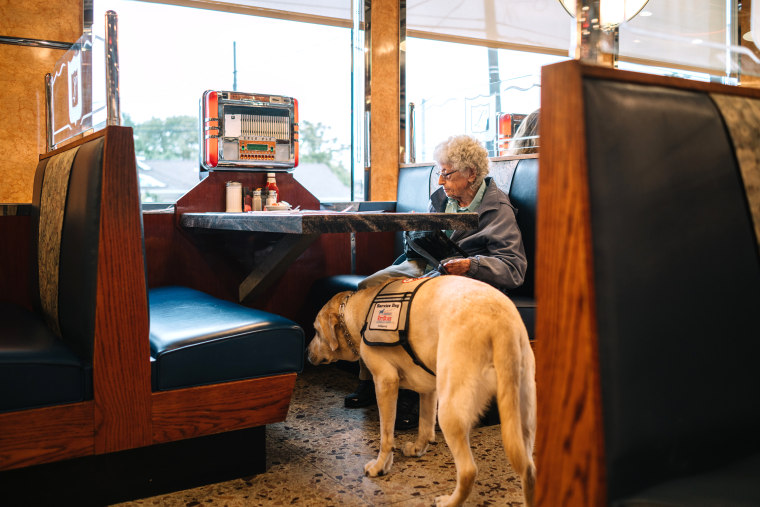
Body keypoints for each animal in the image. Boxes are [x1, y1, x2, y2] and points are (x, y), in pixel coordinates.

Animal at [306, 278, 536, 507]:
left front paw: (380, 466)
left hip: (450, 411)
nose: (307, 353)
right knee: (529, 468)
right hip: (522, 415)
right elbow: (425, 425)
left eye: (316, 331)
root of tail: (500, 321)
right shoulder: (429, 388)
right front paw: (418, 449)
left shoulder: (385, 381)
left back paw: (449, 501)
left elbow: (386, 436)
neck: (362, 311)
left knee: (469, 470)